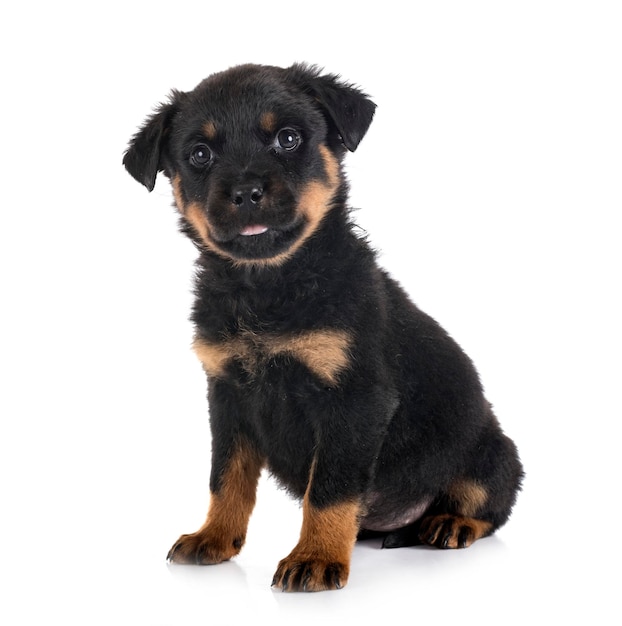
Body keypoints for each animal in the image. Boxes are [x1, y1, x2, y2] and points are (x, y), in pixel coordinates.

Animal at [124, 63, 524, 588]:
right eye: (200, 154)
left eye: (289, 138)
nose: (246, 192)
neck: (268, 288)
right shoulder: (227, 396)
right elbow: (226, 477)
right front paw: (215, 536)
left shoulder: (354, 401)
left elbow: (329, 490)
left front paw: (315, 557)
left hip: (493, 453)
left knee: (490, 504)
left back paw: (450, 523)